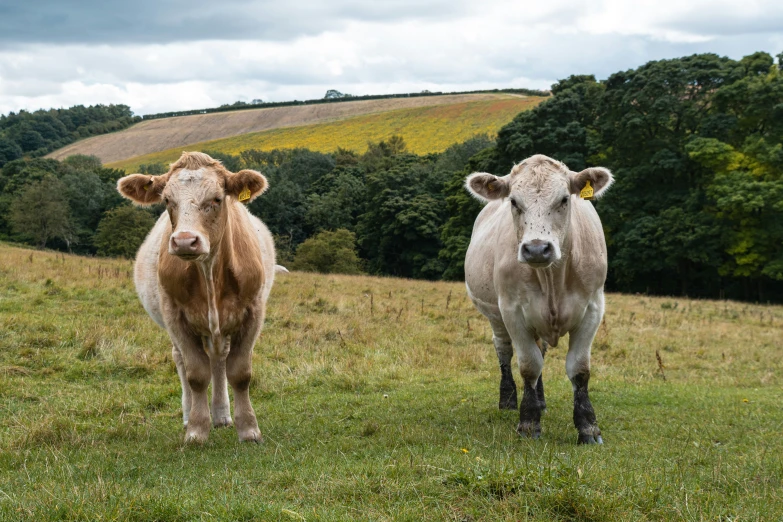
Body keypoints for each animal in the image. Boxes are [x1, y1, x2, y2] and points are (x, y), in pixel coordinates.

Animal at [115, 151, 276, 442]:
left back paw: (222, 415)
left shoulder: (253, 312)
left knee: (219, 359)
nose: (185, 241)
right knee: (183, 360)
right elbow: (196, 374)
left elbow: (240, 372)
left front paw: (248, 429)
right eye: (167, 200)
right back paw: (190, 414)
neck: (209, 272)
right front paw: (197, 429)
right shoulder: (175, 316)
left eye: (217, 199)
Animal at [466, 152, 612, 440]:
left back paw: (541, 400)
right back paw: (509, 399)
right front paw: (529, 421)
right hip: (495, 315)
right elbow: (529, 365)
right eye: (513, 201)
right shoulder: (512, 311)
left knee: (541, 349)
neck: (552, 279)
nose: (536, 249)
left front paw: (588, 426)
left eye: (564, 199)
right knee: (503, 349)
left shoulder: (592, 308)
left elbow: (579, 368)